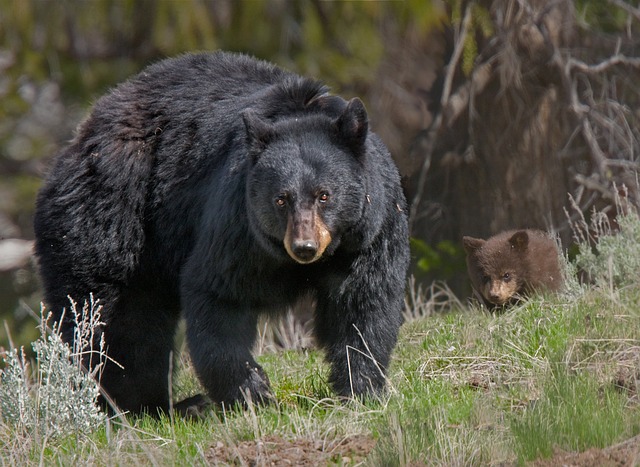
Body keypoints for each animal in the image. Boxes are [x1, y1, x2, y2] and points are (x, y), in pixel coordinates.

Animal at [33, 51, 410, 415]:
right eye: (281, 198)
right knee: (114, 318)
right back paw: (146, 406)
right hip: (112, 215)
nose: (304, 247)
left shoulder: (369, 233)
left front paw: (361, 390)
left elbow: (363, 303)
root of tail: (80, 136)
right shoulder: (237, 225)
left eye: (324, 195)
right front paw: (253, 393)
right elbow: (218, 294)